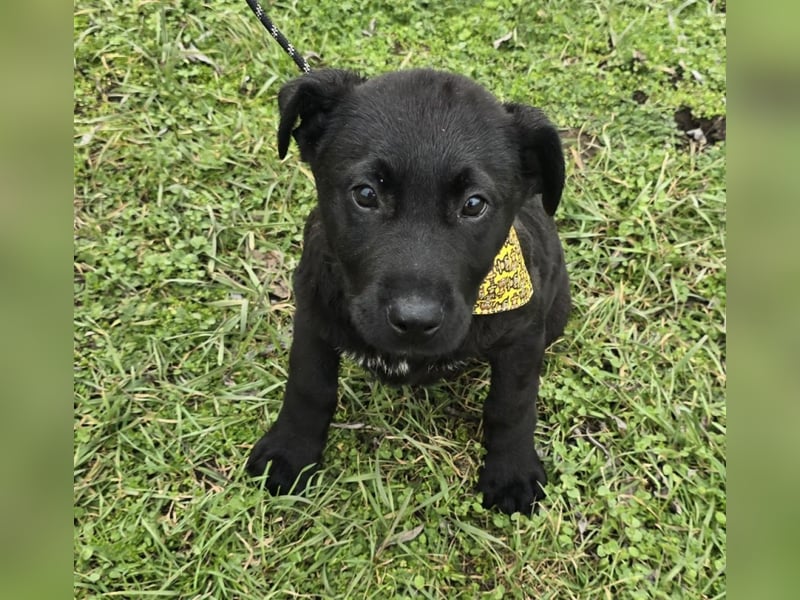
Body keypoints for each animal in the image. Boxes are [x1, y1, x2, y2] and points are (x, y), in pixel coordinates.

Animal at [245, 68, 570, 515]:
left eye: (474, 205)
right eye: (366, 194)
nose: (415, 321)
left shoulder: (523, 335)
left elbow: (511, 405)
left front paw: (512, 472)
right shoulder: (313, 314)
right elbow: (309, 387)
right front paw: (289, 451)